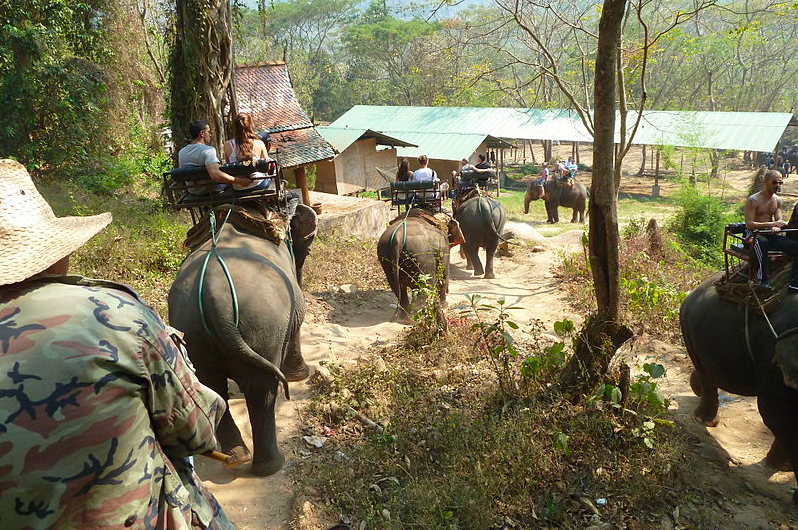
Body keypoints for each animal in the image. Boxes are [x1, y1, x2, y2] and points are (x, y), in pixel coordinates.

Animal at [169, 202, 318, 474]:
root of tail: (216, 298)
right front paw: (299, 376)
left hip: (193, 330)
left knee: (213, 385)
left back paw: (236, 457)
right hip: (264, 324)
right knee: (262, 390)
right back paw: (271, 465)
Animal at [680, 270, 798, 502]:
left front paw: (783, 467)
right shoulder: (773, 356)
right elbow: (775, 414)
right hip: (687, 326)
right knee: (704, 373)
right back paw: (705, 420)